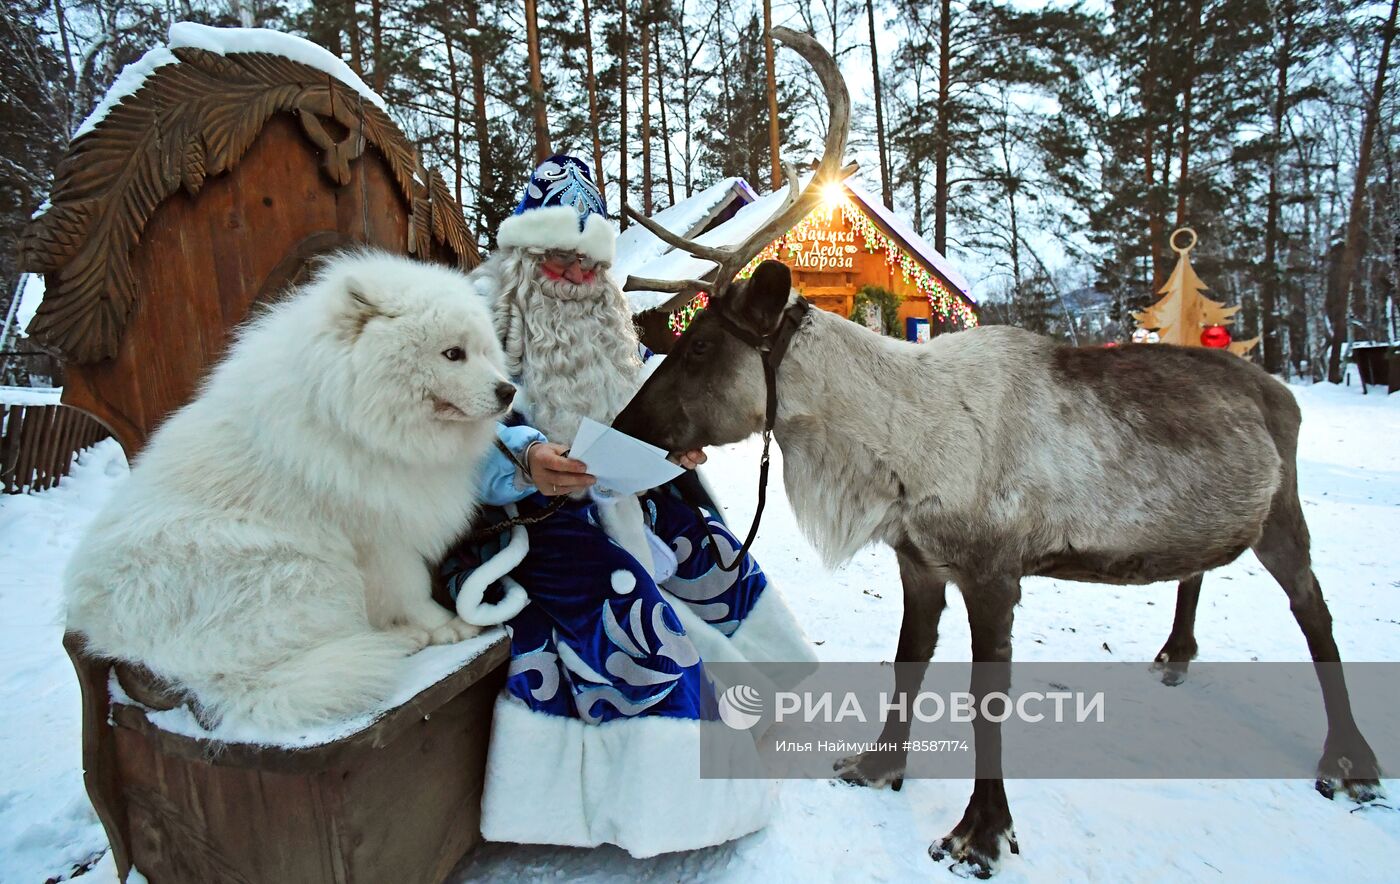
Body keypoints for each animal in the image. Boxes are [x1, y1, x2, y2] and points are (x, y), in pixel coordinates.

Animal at [65, 249, 515, 734]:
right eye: (453, 354)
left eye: (487, 351)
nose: (508, 391)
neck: (349, 419)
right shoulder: (379, 541)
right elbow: (411, 590)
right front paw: (447, 624)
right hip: (303, 567)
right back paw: (403, 639)